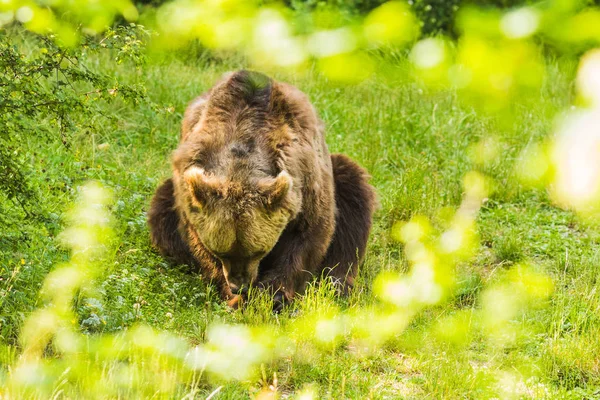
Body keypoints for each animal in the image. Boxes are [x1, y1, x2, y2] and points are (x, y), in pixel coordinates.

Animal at [148, 69, 376, 310]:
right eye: (221, 251)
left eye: (258, 251)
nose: (239, 285)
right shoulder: (189, 182)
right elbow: (196, 238)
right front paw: (233, 296)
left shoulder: (305, 175)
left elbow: (308, 234)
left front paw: (273, 295)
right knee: (162, 211)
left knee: (352, 198)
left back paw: (338, 284)